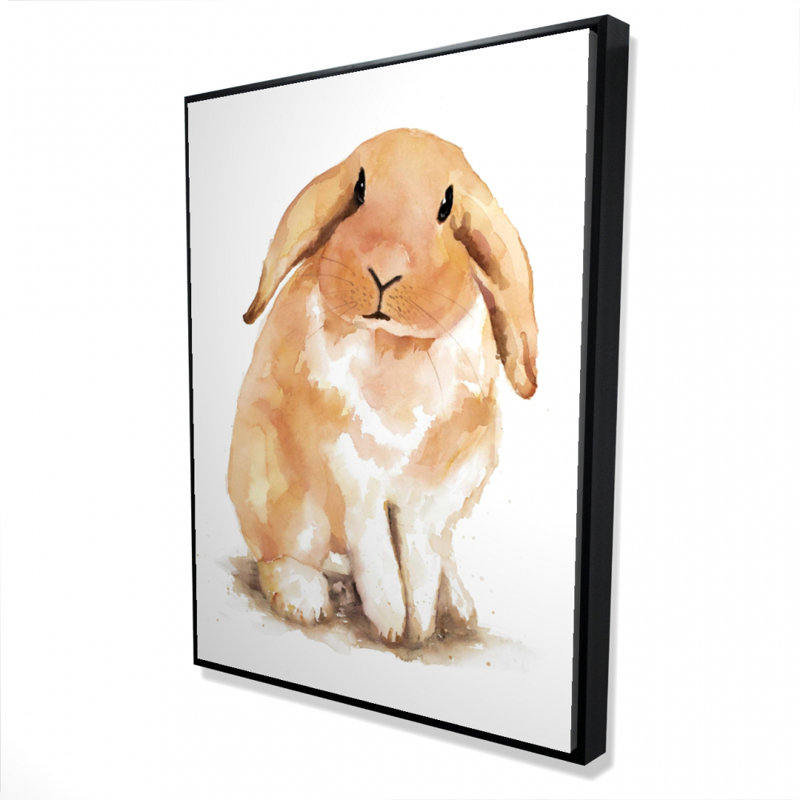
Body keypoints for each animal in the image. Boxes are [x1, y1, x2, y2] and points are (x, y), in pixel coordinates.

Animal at [228, 128, 537, 646]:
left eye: (446, 206)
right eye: (358, 190)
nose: (383, 270)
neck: (397, 347)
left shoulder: (435, 494)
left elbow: (418, 557)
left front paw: (421, 627)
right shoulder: (355, 478)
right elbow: (377, 554)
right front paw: (393, 625)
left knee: (438, 555)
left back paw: (458, 607)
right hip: (278, 494)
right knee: (286, 554)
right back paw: (305, 600)